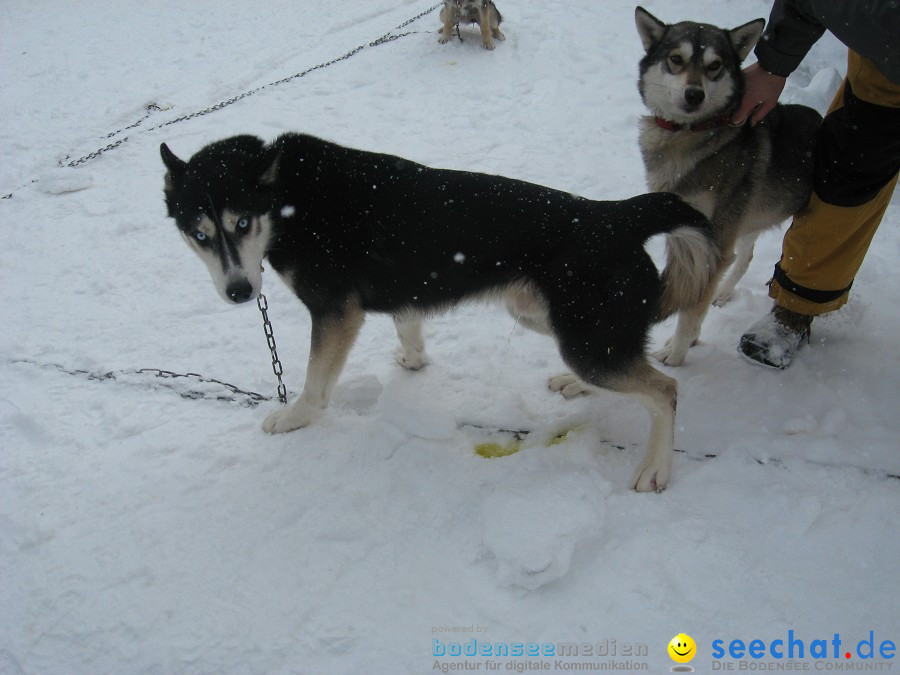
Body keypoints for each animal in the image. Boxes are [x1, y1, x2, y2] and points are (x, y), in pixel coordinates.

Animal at [158, 133, 712, 492]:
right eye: (200, 235)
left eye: (243, 222)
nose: (238, 291)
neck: (288, 200)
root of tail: (615, 215)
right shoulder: (401, 296)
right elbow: (408, 326)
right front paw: (413, 361)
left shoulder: (334, 313)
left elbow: (316, 386)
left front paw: (294, 417)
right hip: (546, 318)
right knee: (629, 366)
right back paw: (577, 385)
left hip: (582, 336)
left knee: (664, 391)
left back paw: (655, 468)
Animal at [632, 6, 824, 364]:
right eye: (676, 59)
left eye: (715, 66)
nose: (694, 94)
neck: (690, 134)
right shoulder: (687, 236)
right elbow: (691, 296)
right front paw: (685, 341)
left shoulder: (713, 242)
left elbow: (690, 310)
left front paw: (676, 354)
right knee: (744, 256)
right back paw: (722, 293)